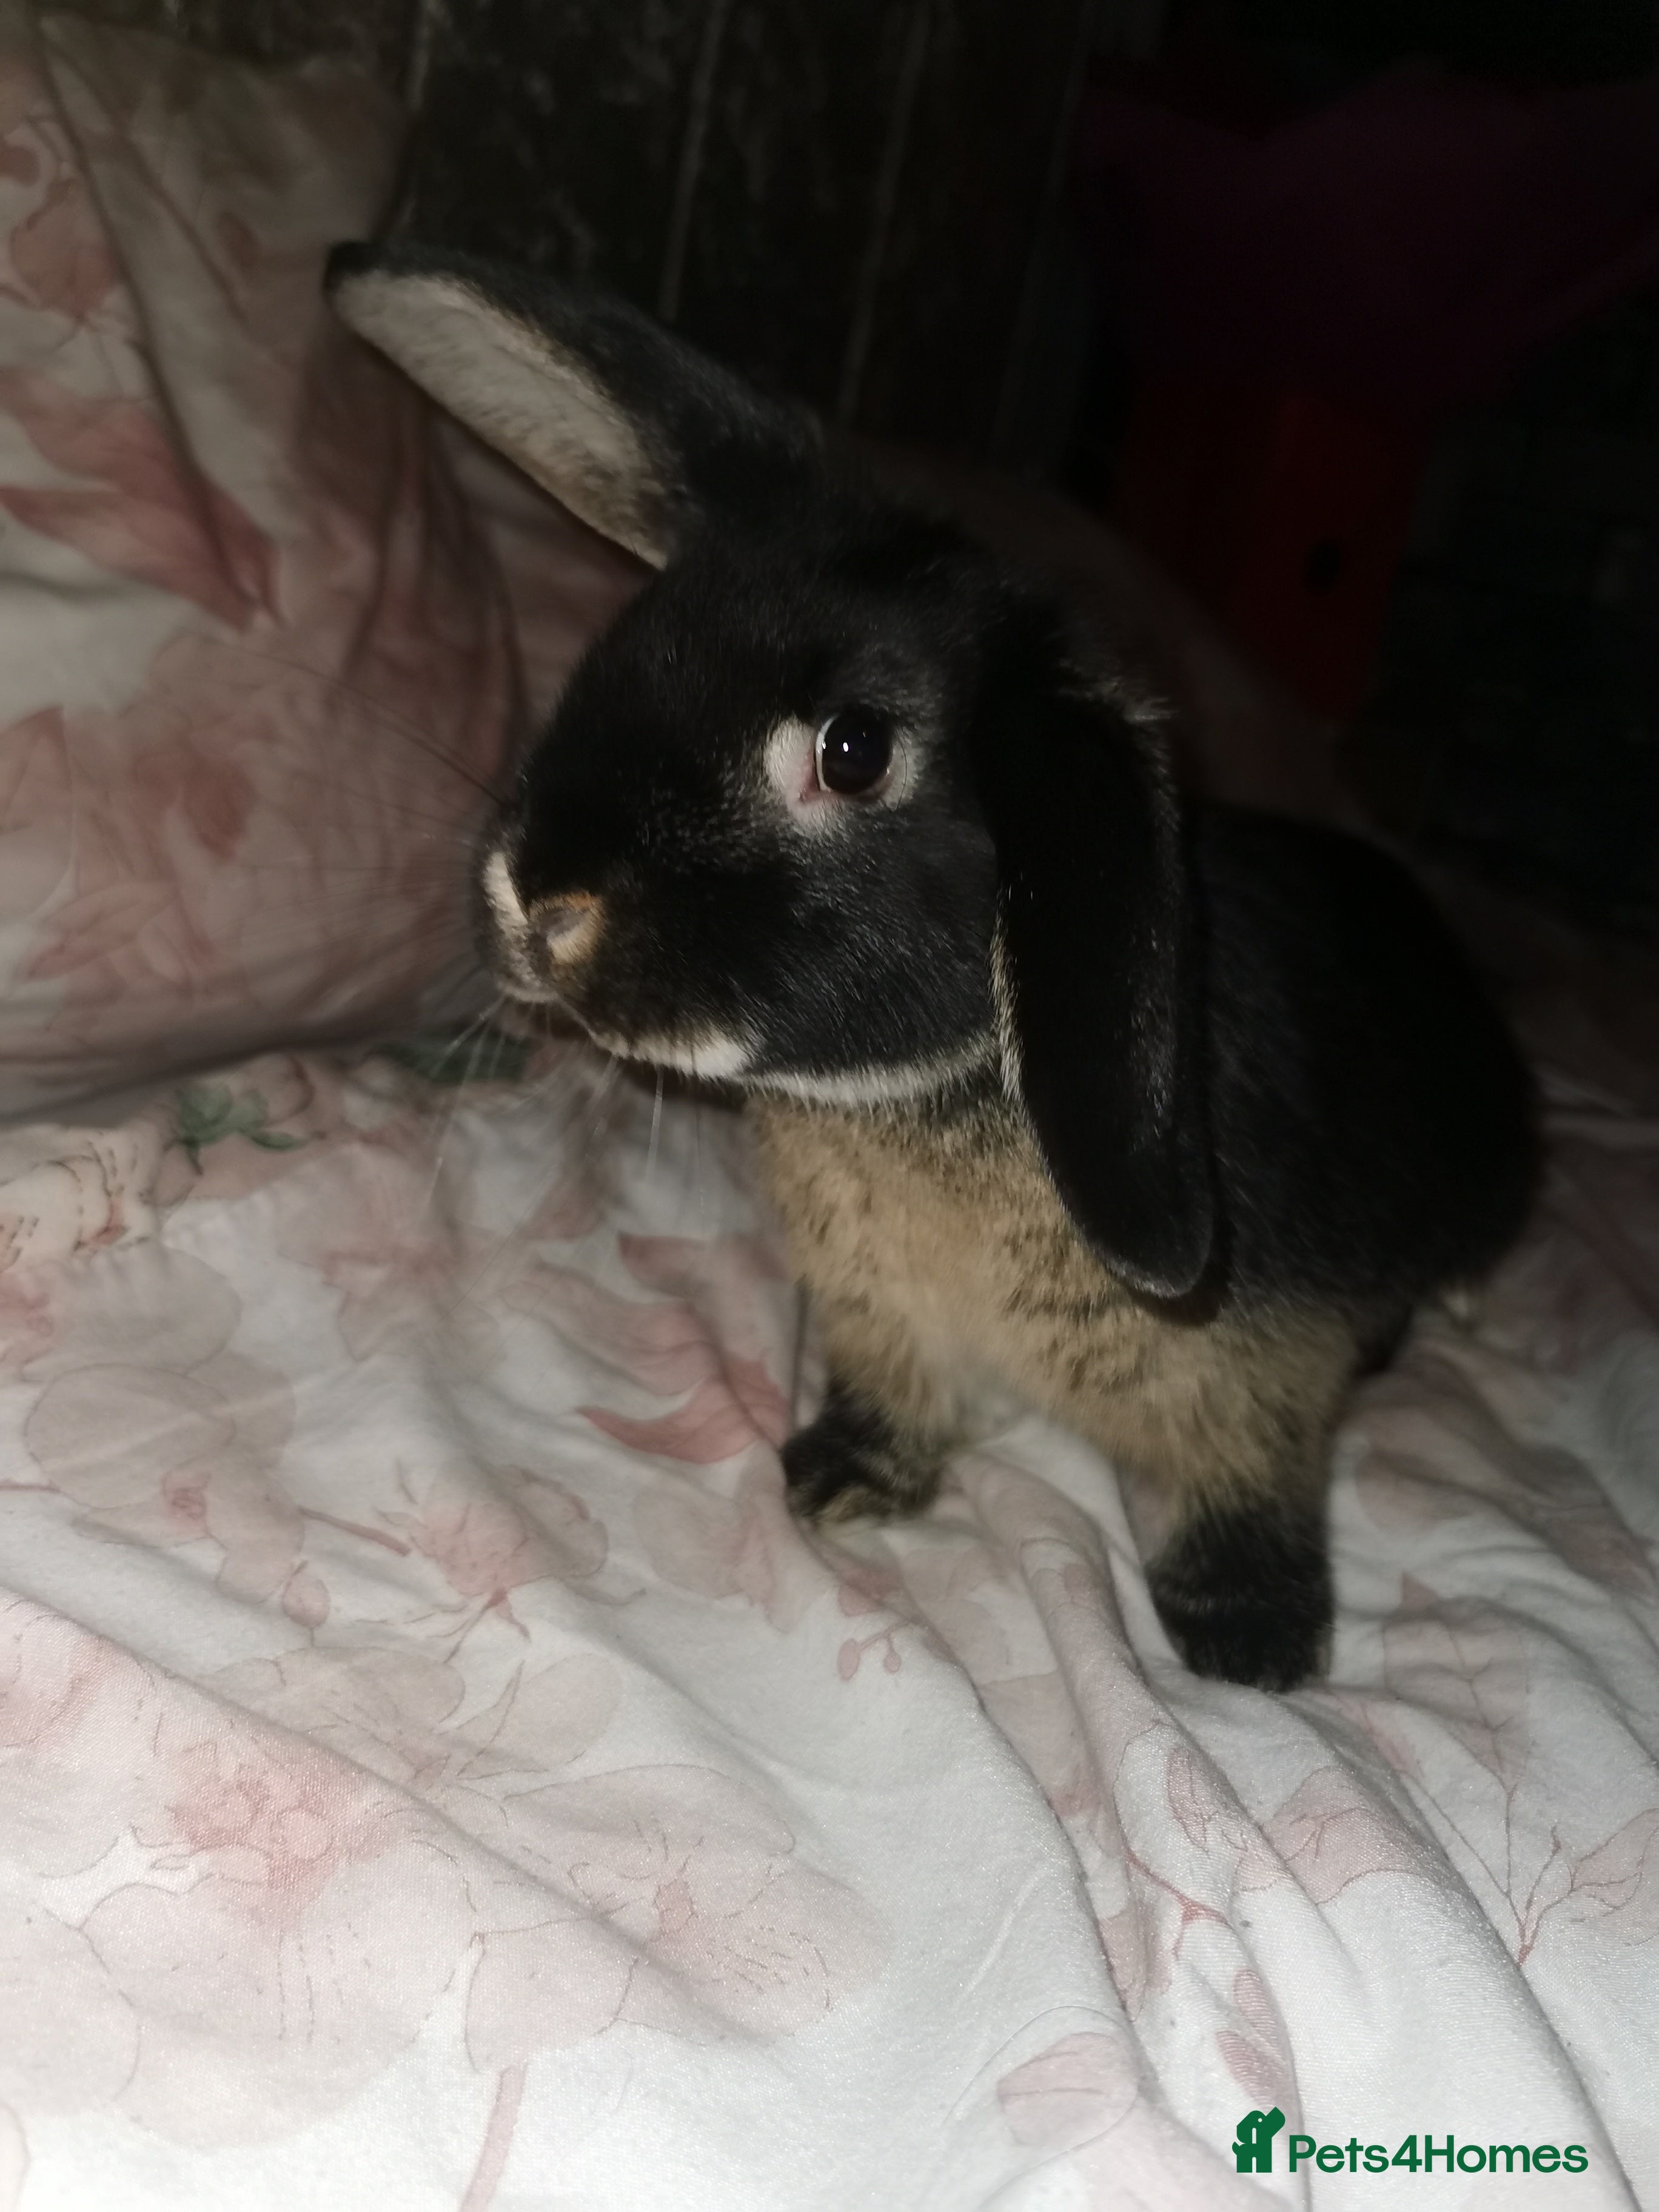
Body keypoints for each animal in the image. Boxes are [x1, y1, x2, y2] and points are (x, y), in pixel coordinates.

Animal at [327, 240, 1540, 1691]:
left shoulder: (1251, 1383)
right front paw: (836, 1482)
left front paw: (1249, 1644)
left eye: (853, 752)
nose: (537, 896)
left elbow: (1246, 1482)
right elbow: (894, 1397)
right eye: (627, 641)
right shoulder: (879, 1316)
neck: (929, 1096)